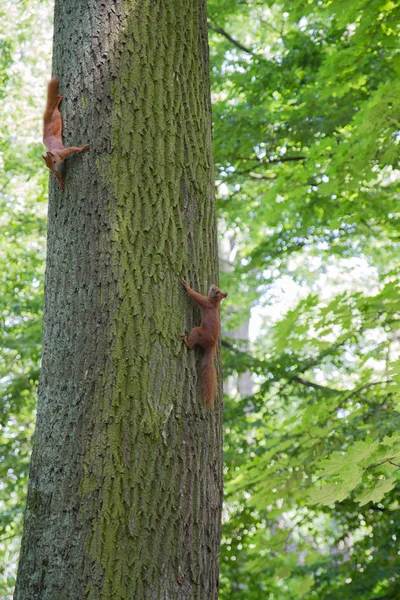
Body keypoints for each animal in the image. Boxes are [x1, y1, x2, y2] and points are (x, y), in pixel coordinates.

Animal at [181, 278, 228, 406]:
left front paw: (187, 286)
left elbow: (194, 295)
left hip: (198, 332)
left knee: (191, 345)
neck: (214, 303)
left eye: (213, 289)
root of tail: (212, 344)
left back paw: (186, 341)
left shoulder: (204, 301)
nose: (212, 284)